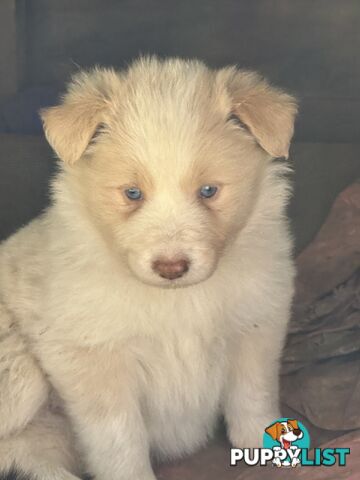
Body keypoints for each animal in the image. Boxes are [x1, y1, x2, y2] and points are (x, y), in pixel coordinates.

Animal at [0, 57, 296, 480]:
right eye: (132, 193)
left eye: (209, 191)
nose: (171, 267)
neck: (176, 300)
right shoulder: (93, 358)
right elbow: (120, 440)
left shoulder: (255, 327)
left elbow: (253, 397)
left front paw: (265, 451)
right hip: (22, 372)